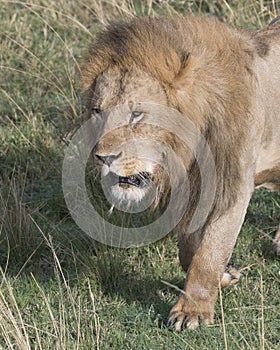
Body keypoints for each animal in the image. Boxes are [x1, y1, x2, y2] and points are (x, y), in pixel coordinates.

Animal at [80, 14, 280, 330]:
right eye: (98, 111)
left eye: (137, 114)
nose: (102, 157)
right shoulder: (191, 187)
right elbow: (188, 250)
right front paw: (226, 275)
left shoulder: (231, 185)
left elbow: (209, 252)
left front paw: (192, 311)